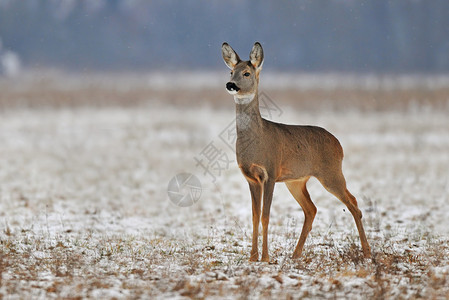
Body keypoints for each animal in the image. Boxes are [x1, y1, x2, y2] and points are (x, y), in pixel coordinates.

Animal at [221, 42, 372, 262]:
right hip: (296, 181)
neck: (255, 143)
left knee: (353, 203)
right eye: (231, 71)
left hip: (331, 173)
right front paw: (252, 257)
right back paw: (295, 253)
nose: (230, 85)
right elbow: (254, 216)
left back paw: (367, 252)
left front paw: (265, 257)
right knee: (311, 209)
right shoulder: (250, 177)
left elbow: (265, 216)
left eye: (247, 73)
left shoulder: (270, 172)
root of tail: (339, 145)